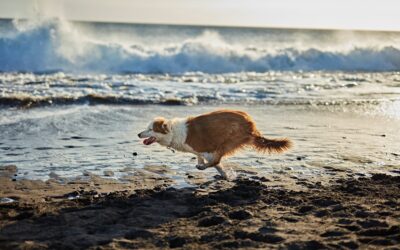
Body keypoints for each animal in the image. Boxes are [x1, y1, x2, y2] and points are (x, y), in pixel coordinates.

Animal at [139, 110, 292, 179]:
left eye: (150, 129)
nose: (138, 134)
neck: (172, 131)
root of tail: (252, 125)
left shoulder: (207, 150)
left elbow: (215, 162)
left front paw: (208, 168)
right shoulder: (200, 151)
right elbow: (208, 161)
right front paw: (226, 175)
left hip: (228, 141)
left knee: (217, 159)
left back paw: (203, 168)